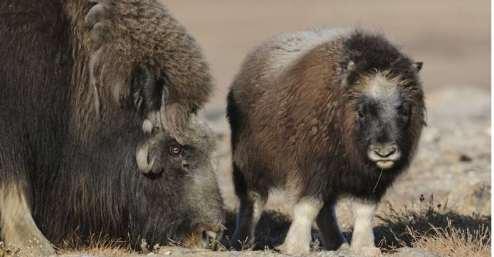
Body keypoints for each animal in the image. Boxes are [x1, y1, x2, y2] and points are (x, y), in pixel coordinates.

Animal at [228, 28, 424, 254]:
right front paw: (295, 247)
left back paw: (338, 244)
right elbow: (308, 206)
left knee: (326, 209)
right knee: (253, 198)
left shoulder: (369, 180)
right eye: (362, 112)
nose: (384, 152)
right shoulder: (313, 168)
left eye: (404, 110)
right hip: (250, 161)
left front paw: (365, 247)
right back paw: (242, 242)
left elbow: (364, 210)